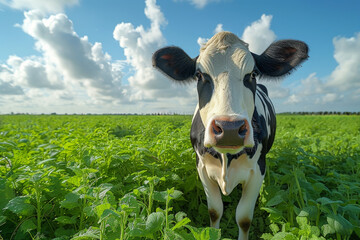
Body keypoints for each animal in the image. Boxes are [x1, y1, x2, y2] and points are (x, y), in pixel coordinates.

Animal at [152, 31, 310, 239]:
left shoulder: (257, 170)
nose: (229, 128)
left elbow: (244, 218)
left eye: (253, 74)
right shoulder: (202, 168)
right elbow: (214, 211)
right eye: (199, 75)